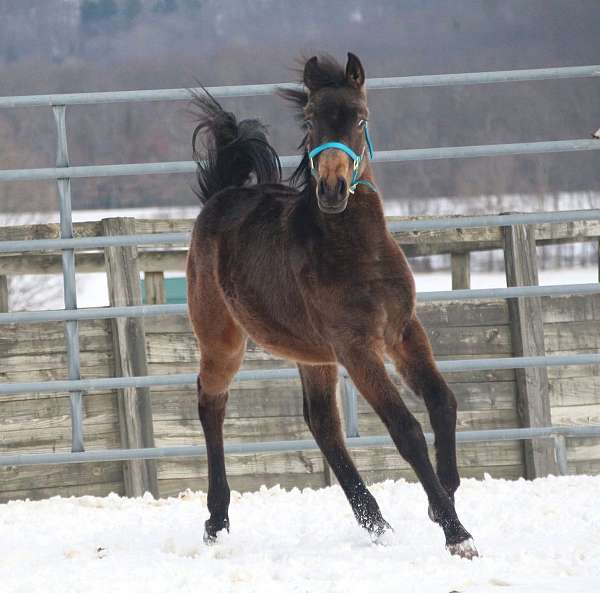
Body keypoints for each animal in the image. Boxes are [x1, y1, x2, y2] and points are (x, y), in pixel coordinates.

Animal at [188, 53, 478, 556]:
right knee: (211, 402)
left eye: (360, 118)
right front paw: (456, 532)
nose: (332, 189)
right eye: (309, 120)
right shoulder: (356, 348)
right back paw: (216, 521)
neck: (358, 250)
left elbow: (443, 402)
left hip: (312, 355)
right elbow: (405, 430)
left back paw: (375, 523)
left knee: (322, 423)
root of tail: (219, 198)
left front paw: (443, 496)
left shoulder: (403, 331)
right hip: (223, 339)